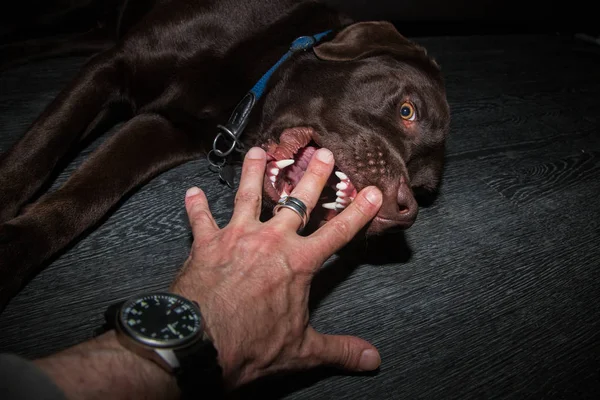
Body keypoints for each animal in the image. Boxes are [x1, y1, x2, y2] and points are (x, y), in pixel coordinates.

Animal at [0, 0, 448, 310]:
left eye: (424, 191)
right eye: (407, 110)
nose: (405, 210)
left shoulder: (162, 127)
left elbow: (87, 194)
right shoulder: (112, 66)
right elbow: (38, 150)